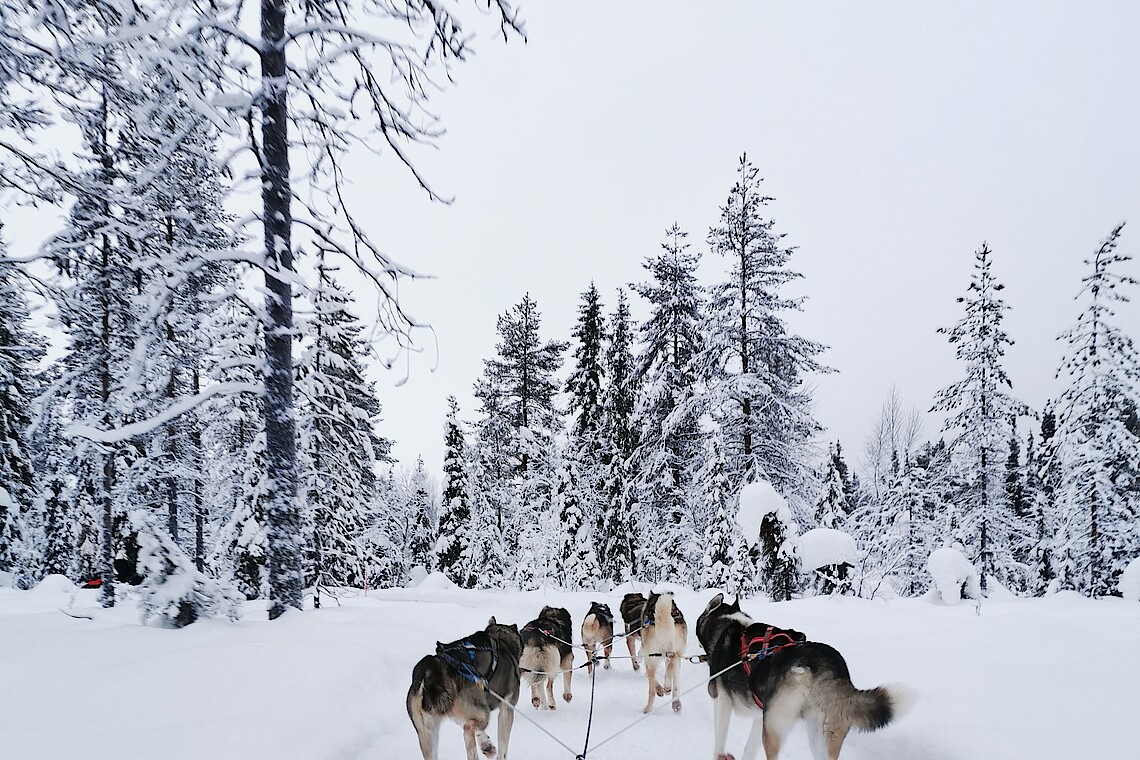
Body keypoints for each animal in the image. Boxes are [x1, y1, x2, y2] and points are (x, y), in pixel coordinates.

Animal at [406, 617, 522, 760]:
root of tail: (431, 670)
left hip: (426, 733)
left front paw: (486, 743)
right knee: (469, 728)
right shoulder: (507, 707)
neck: (500, 640)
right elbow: (503, 746)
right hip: (481, 710)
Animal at [695, 594, 911, 760]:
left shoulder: (722, 701)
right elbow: (748, 749)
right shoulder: (759, 715)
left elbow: (719, 739)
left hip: (774, 729)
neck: (731, 625)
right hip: (822, 733)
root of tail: (823, 666)